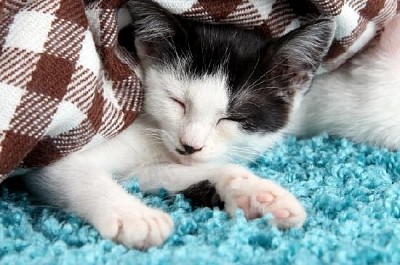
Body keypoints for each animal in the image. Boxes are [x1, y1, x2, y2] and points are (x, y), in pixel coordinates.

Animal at [21, 0, 334, 248]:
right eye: (177, 101)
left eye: (232, 117)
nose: (190, 145)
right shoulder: (58, 145)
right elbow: (75, 172)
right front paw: (134, 215)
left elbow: (162, 174)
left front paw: (257, 195)